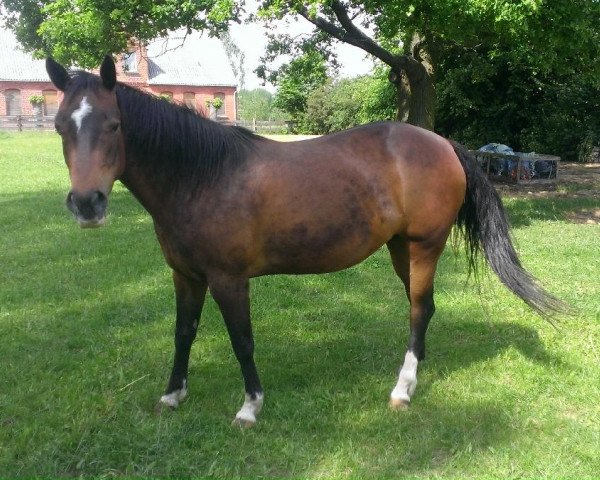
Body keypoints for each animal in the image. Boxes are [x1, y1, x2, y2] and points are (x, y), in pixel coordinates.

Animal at [47, 57, 564, 428]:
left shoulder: (228, 280)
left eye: (114, 125)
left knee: (419, 309)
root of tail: (443, 144)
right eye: (60, 126)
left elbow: (242, 341)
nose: (87, 204)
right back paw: (416, 373)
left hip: (422, 246)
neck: (203, 177)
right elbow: (183, 334)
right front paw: (173, 396)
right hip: (400, 247)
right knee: (424, 309)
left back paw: (402, 389)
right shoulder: (186, 276)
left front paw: (250, 408)